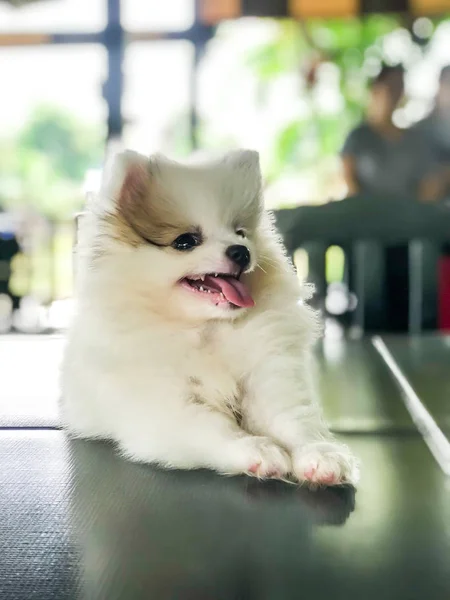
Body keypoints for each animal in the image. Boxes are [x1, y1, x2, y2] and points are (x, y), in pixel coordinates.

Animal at [60, 150, 358, 488]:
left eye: (241, 233)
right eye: (186, 241)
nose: (241, 251)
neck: (207, 328)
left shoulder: (270, 375)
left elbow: (294, 420)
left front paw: (322, 454)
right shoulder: (163, 404)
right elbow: (215, 428)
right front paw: (258, 449)